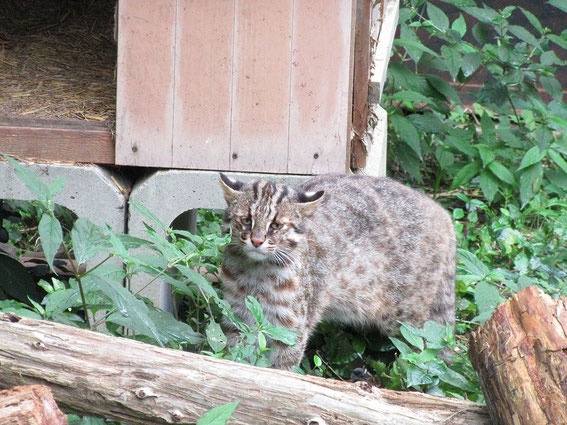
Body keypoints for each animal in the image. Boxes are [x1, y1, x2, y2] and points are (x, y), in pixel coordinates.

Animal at [219, 172, 458, 368]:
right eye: (246, 220)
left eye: (276, 225)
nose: (257, 241)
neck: (256, 273)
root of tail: (443, 214)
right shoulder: (236, 315)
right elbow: (236, 356)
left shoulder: (290, 328)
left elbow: (281, 369)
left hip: (406, 320)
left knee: (422, 351)